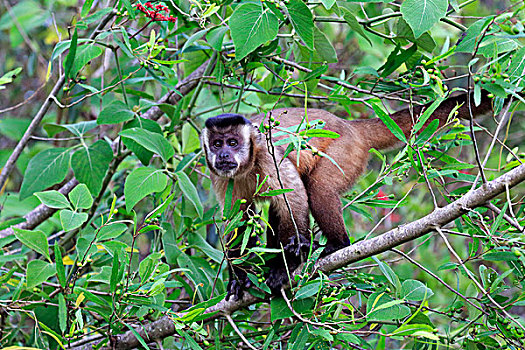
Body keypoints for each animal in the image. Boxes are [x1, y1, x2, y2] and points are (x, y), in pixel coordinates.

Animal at [199, 92, 494, 298]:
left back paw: (337, 244)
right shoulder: (219, 176)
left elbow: (294, 198)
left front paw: (289, 262)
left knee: (318, 187)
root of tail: (350, 125)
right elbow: (238, 220)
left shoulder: (268, 155)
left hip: (347, 150)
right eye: (217, 144)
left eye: (233, 143)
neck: (247, 165)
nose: (223, 155)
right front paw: (239, 277)